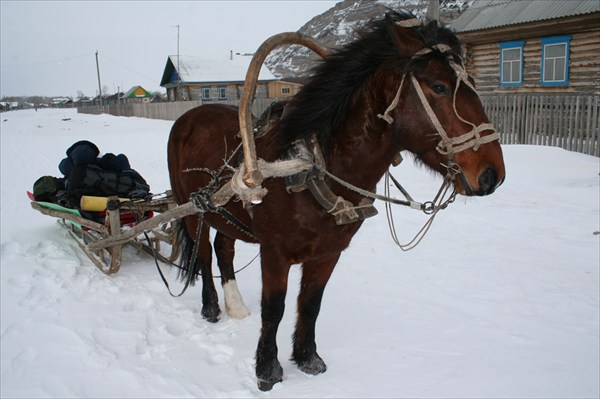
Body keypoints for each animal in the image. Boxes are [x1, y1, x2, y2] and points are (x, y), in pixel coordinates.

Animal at [166, 10, 504, 392]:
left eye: (471, 81)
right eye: (439, 87)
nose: (492, 174)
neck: (313, 168)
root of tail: (188, 116)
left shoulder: (329, 252)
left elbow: (310, 304)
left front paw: (308, 359)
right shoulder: (275, 252)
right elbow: (275, 309)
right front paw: (267, 370)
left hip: (228, 212)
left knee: (224, 249)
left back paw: (235, 305)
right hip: (194, 208)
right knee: (204, 254)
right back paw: (211, 308)